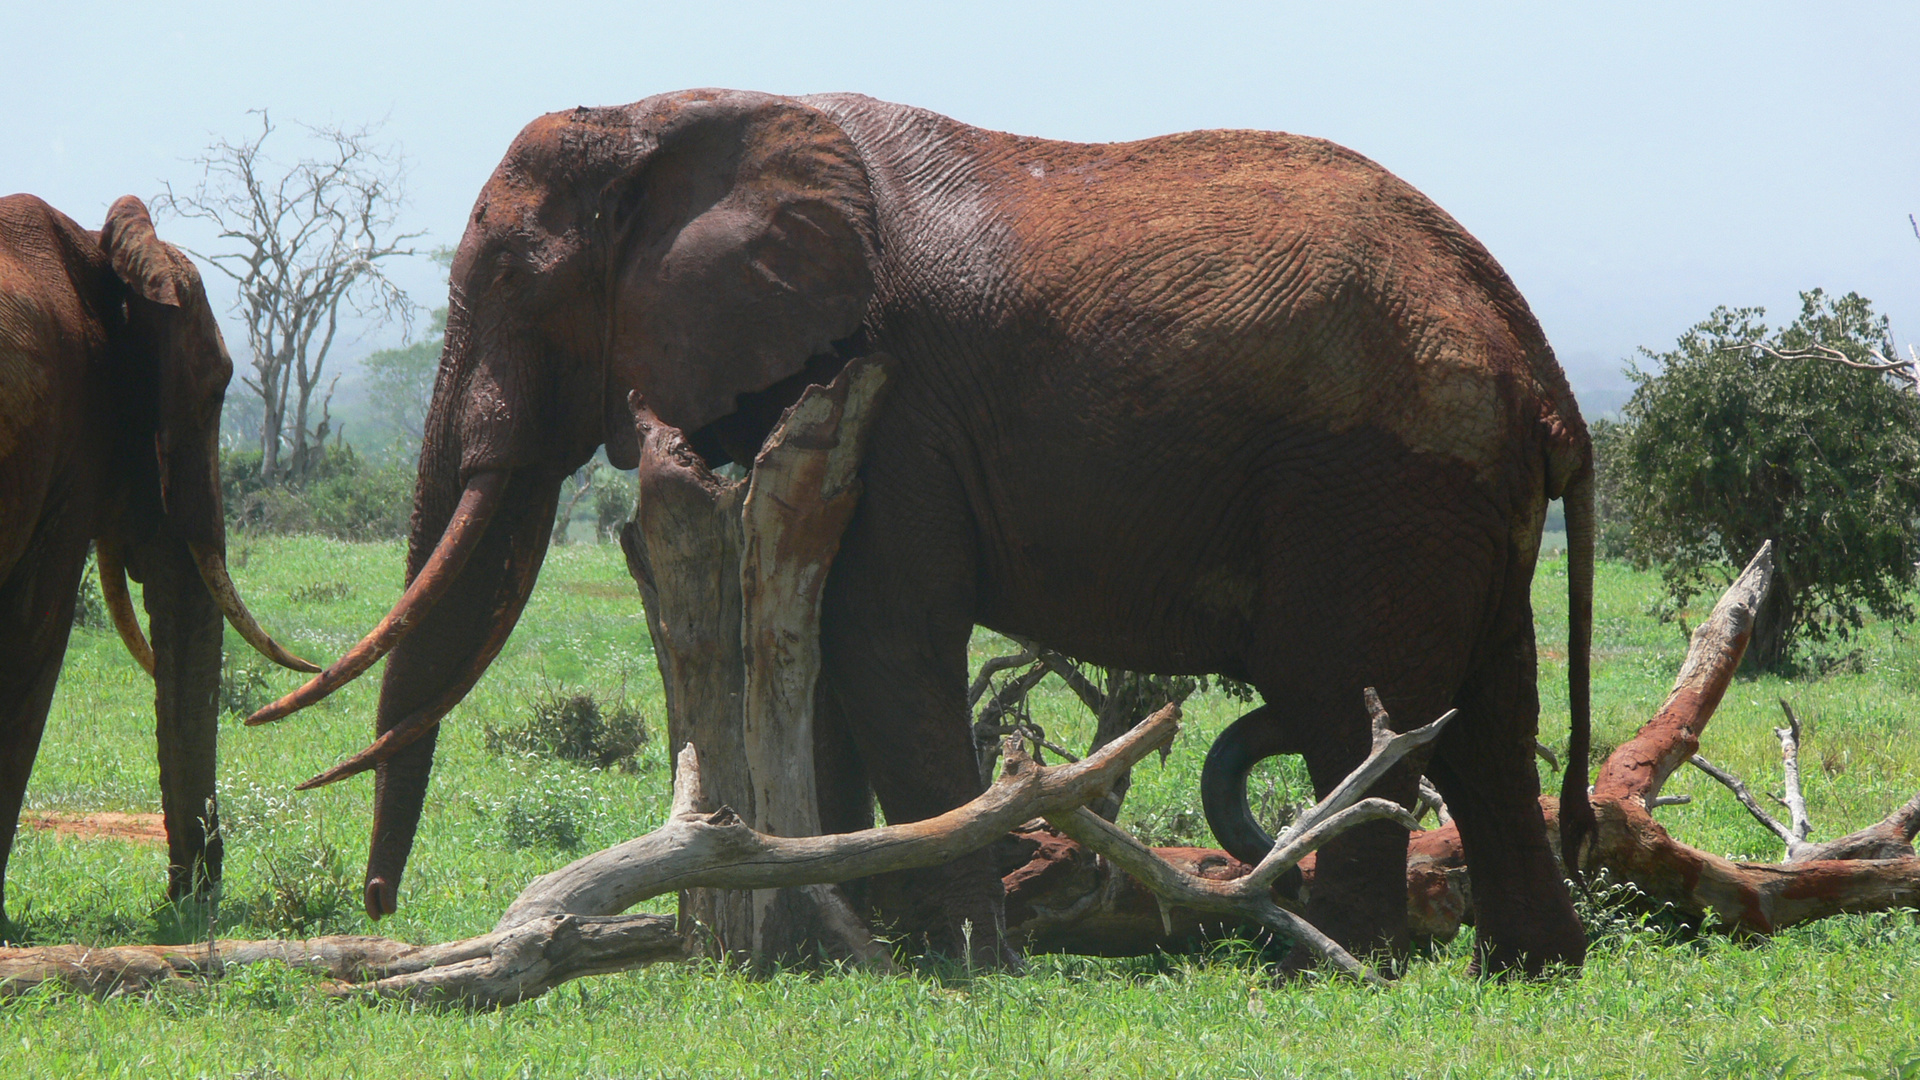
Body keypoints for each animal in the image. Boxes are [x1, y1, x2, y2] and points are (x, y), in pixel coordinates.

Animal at [259, 88, 1605, 972]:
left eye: (511, 282)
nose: (375, 909)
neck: (676, 111)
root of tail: (1539, 361)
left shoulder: (891, 404)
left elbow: (884, 644)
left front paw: (960, 955)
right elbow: (832, 664)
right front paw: (863, 922)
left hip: (1377, 488)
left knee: (1347, 707)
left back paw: (1329, 960)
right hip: (1457, 499)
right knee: (1488, 721)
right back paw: (1531, 966)